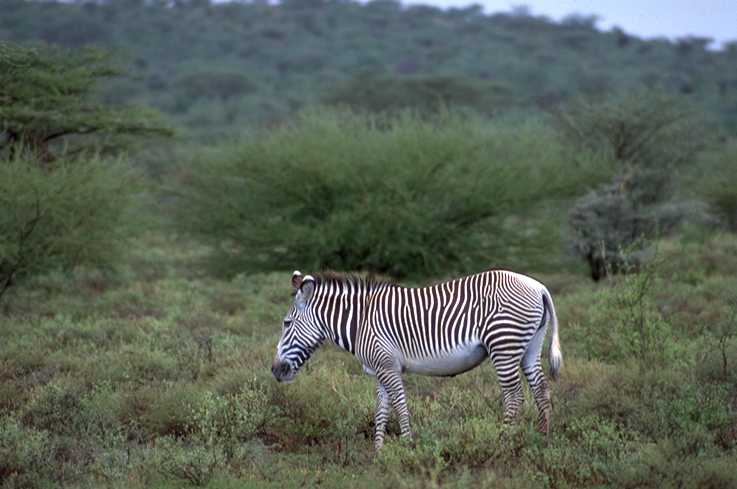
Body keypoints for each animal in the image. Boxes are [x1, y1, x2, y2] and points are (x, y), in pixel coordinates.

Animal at [271, 269, 562, 450]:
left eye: (286, 323)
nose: (275, 370)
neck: (360, 321)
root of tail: (538, 287)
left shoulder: (388, 367)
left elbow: (399, 404)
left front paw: (408, 446)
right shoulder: (380, 369)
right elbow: (381, 410)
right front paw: (379, 453)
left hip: (503, 345)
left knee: (514, 395)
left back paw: (503, 441)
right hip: (529, 347)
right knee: (541, 389)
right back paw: (543, 440)